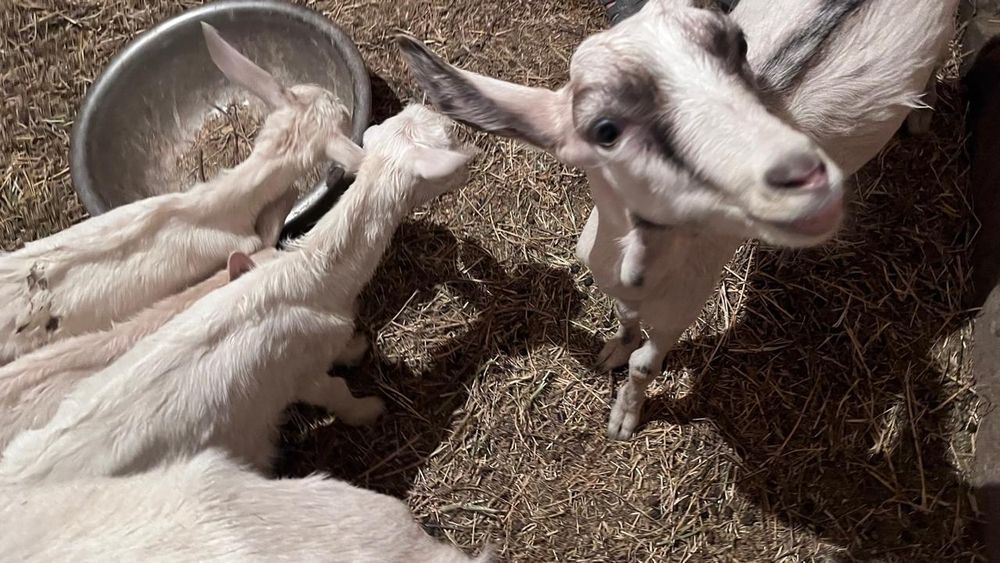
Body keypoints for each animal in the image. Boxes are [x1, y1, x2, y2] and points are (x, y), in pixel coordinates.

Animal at [396, 0, 958, 439]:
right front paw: (611, 351)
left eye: (738, 46)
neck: (637, 264)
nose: (808, 175)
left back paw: (921, 116)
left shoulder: (681, 309)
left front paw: (624, 418)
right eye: (605, 129)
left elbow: (646, 363)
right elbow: (623, 318)